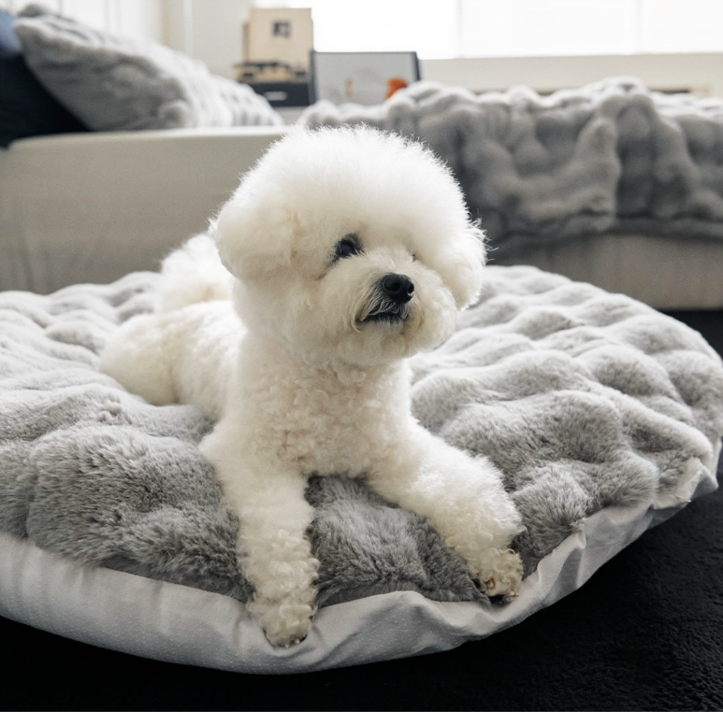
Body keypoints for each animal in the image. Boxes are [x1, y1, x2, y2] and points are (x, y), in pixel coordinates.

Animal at [100, 126, 524, 647]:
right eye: (345, 247)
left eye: (414, 256)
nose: (402, 283)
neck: (338, 378)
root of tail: (195, 302)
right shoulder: (254, 458)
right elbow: (278, 535)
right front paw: (285, 610)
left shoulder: (396, 453)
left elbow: (459, 492)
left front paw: (495, 564)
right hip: (145, 372)